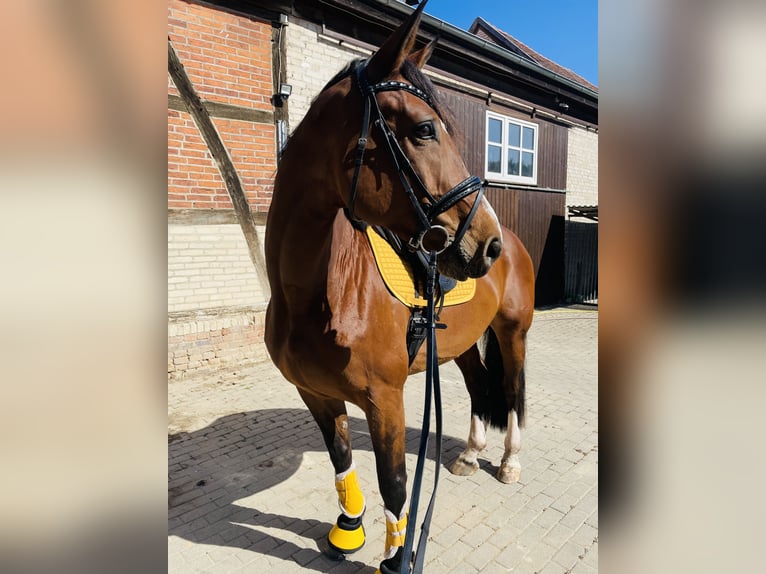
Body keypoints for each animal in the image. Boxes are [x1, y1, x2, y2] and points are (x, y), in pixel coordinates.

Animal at [264, 3, 534, 572]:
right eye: (426, 129)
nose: (487, 245)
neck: (318, 296)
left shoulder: (385, 399)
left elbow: (394, 483)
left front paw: (397, 558)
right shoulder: (314, 392)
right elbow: (342, 459)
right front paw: (348, 531)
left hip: (512, 334)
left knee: (514, 390)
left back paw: (510, 463)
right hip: (459, 345)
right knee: (480, 387)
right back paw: (471, 454)